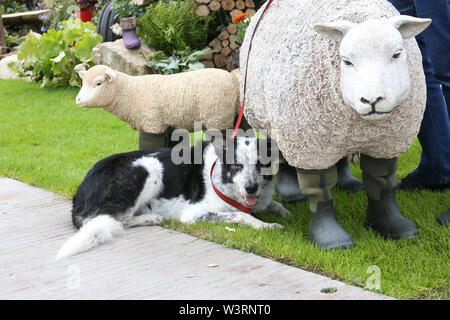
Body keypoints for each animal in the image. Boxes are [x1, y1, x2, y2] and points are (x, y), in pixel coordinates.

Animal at [75, 65, 241, 132]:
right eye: (83, 82)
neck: (130, 92)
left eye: (98, 83)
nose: (77, 100)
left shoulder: (153, 123)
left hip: (218, 117)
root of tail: (233, 81)